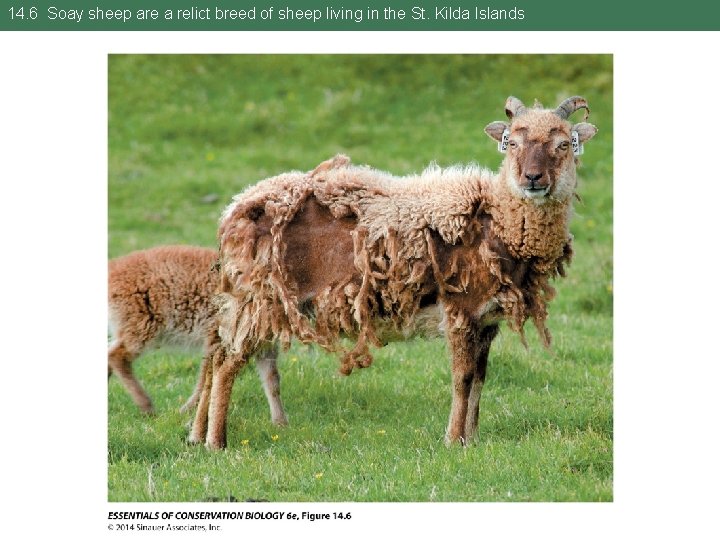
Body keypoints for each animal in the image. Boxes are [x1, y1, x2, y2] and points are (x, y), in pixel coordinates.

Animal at [107, 244, 286, 422]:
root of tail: (113, 269)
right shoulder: (216, 339)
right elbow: (207, 378)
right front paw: (188, 410)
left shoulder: (265, 347)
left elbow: (272, 381)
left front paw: (280, 422)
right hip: (141, 327)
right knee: (117, 356)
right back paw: (147, 406)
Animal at [188, 96, 600, 448]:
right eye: (511, 143)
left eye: (563, 145)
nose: (533, 178)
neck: (497, 221)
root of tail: (234, 209)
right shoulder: (461, 311)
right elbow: (463, 378)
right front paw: (453, 440)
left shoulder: (487, 320)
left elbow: (481, 380)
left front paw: (472, 439)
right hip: (259, 297)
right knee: (227, 362)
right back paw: (216, 442)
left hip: (245, 297)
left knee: (216, 352)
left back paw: (195, 435)